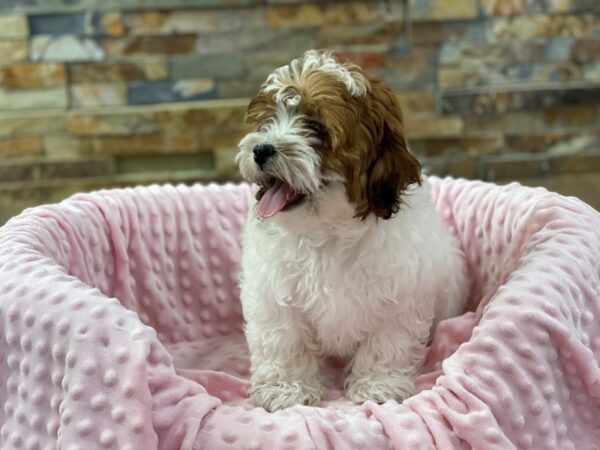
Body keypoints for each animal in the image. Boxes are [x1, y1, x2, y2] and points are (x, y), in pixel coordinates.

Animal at [237, 49, 466, 412]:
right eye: (267, 122)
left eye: (315, 126)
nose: (261, 149)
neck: (329, 227)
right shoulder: (274, 293)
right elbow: (284, 339)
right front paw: (287, 389)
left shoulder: (401, 293)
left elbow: (387, 341)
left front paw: (378, 385)